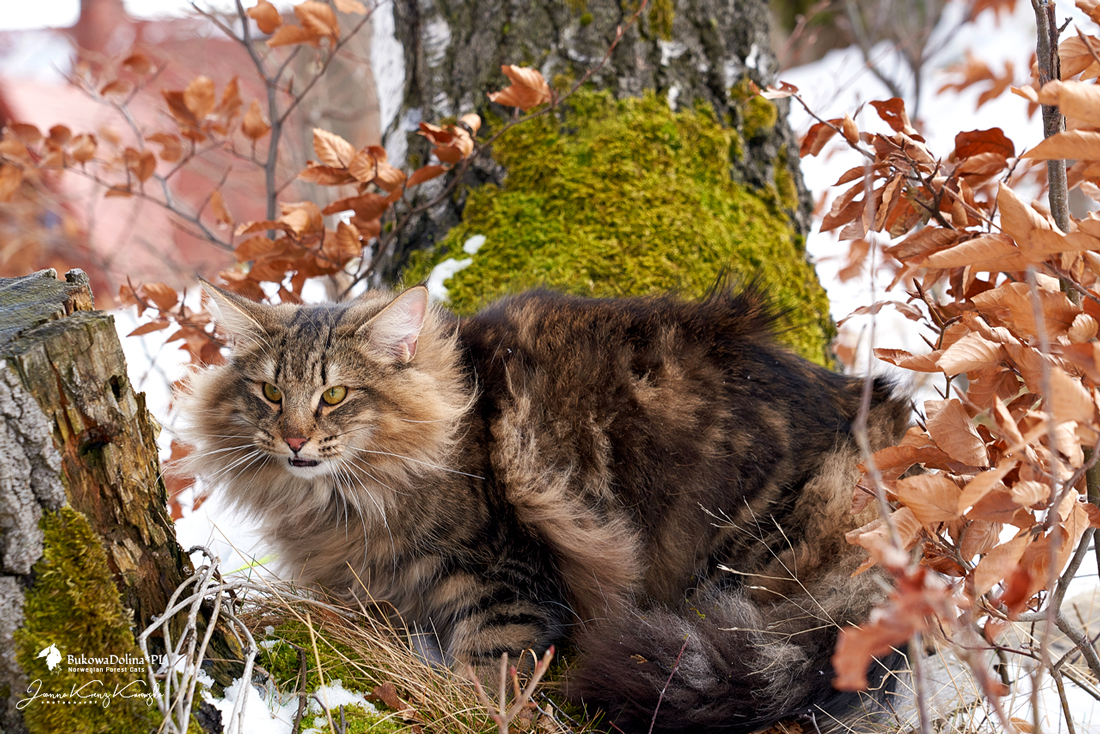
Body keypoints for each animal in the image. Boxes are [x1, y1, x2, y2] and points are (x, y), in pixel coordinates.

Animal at [177, 281, 910, 733]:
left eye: (335, 396)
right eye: (271, 393)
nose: (295, 438)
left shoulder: (504, 579)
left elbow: (488, 670)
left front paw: (469, 708)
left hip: (747, 553)